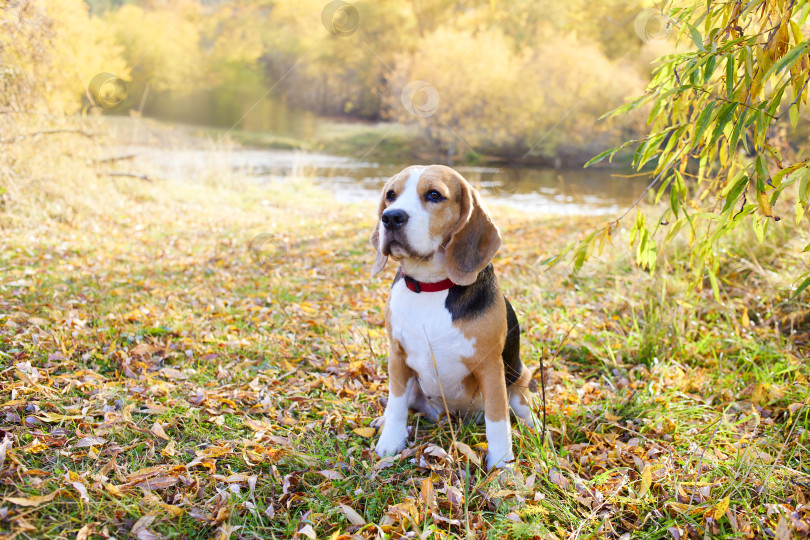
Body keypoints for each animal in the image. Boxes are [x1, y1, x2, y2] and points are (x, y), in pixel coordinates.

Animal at [370, 163, 532, 468]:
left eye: (434, 195)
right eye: (390, 195)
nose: (391, 217)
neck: (430, 286)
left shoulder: (490, 367)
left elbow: (498, 421)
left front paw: (502, 466)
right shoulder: (397, 356)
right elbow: (396, 403)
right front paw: (390, 440)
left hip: (518, 375)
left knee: (522, 407)